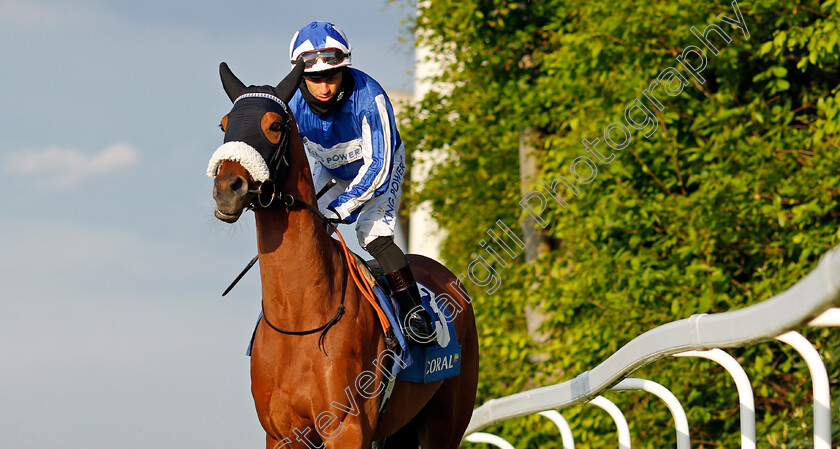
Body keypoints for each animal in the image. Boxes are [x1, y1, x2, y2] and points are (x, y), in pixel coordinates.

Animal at [207, 60, 480, 448]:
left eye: (274, 125)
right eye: (224, 124)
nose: (228, 188)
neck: (299, 322)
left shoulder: (347, 428)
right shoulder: (282, 434)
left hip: (445, 423)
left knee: (377, 235)